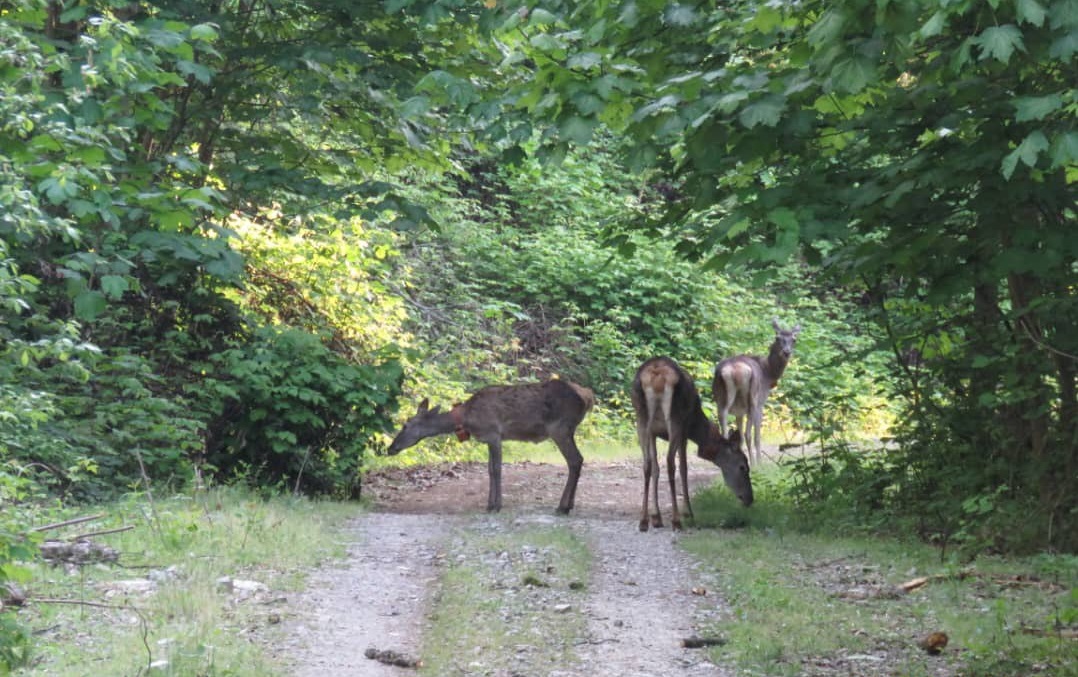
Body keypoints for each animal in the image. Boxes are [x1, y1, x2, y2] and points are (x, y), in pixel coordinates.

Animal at [386, 378, 594, 514]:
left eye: (406, 425)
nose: (390, 448)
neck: (466, 419)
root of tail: (587, 398)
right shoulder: (488, 439)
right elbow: (489, 470)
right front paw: (489, 504)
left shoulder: (494, 434)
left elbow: (497, 469)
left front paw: (497, 505)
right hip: (567, 430)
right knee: (579, 460)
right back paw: (569, 505)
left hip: (559, 428)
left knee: (574, 460)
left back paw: (562, 507)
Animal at [632, 357, 753, 532]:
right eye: (742, 467)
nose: (750, 499)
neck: (696, 428)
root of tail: (656, 374)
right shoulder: (684, 432)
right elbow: (684, 468)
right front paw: (688, 513)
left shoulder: (653, 433)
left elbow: (655, 468)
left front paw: (656, 517)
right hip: (675, 419)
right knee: (670, 463)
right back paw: (676, 520)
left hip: (641, 419)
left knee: (647, 464)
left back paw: (643, 521)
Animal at [712, 319, 801, 466]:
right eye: (777, 338)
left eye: (794, 339)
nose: (786, 352)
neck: (769, 373)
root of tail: (734, 370)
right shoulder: (761, 403)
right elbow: (756, 435)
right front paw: (760, 462)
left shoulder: (739, 411)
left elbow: (740, 436)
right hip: (752, 399)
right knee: (749, 434)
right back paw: (755, 464)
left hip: (720, 396)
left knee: (724, 423)